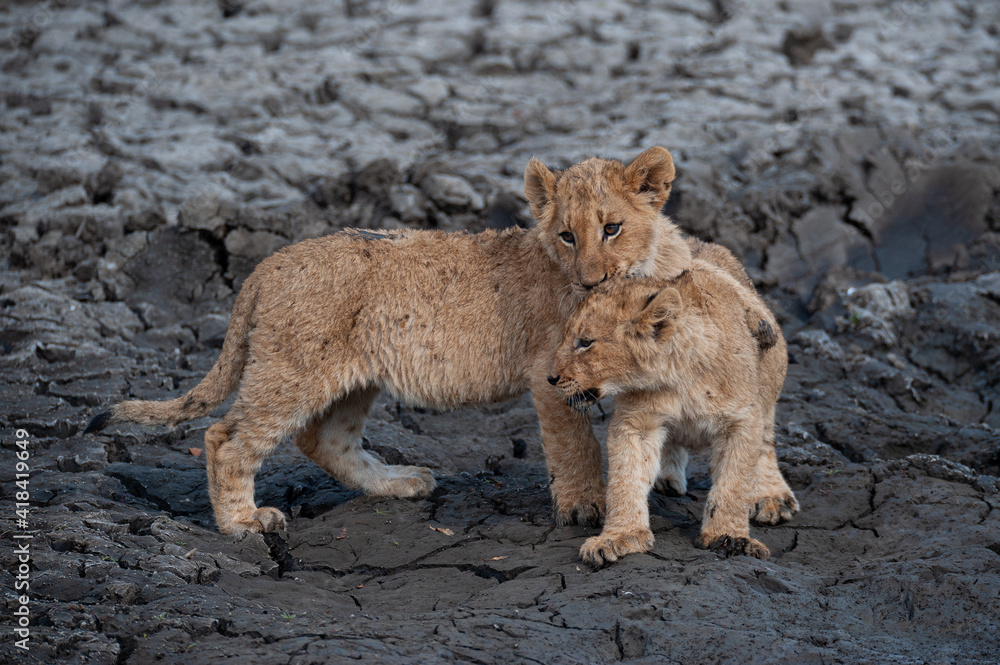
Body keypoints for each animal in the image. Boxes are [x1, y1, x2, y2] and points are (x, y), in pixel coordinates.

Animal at [85, 146, 778, 537]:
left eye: (611, 228)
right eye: (566, 235)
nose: (590, 280)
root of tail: (267, 265)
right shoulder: (547, 370)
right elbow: (574, 445)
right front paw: (584, 508)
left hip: (351, 376)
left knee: (323, 439)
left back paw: (401, 483)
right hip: (290, 369)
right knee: (227, 439)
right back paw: (243, 524)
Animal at [548, 266, 799, 567]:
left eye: (585, 342)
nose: (551, 378)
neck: (678, 378)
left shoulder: (741, 420)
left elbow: (733, 483)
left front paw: (728, 537)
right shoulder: (636, 422)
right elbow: (626, 479)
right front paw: (620, 536)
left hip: (770, 386)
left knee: (766, 442)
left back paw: (772, 497)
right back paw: (666, 478)